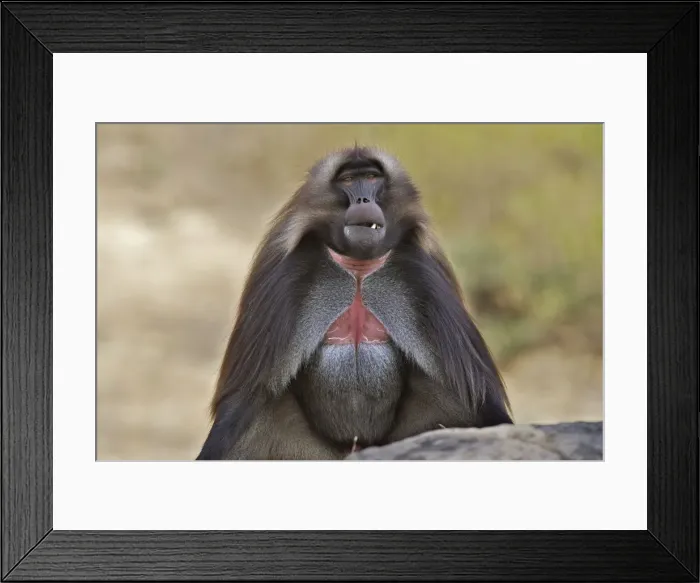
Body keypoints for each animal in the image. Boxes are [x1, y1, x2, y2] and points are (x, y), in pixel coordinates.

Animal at [196, 145, 513, 460]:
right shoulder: (287, 281)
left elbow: (478, 399)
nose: (363, 200)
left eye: (372, 177)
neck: (359, 271)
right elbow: (245, 401)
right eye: (348, 180)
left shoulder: (422, 279)